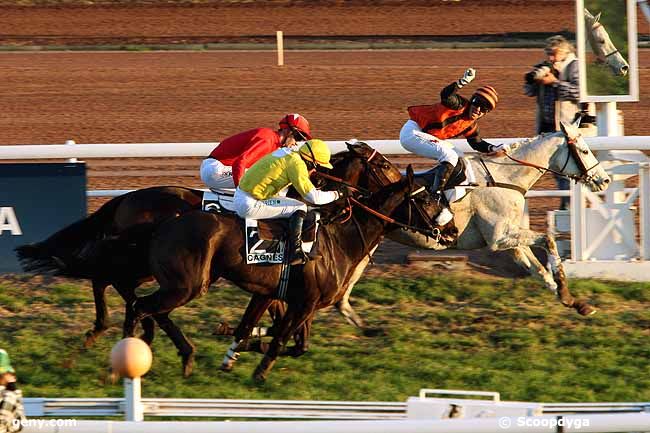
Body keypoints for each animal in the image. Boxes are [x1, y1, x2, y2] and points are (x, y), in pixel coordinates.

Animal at [125, 164, 436, 380]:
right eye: (425, 201)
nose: (441, 231)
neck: (338, 237)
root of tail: (164, 224)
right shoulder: (304, 303)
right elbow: (281, 338)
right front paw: (259, 373)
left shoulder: (285, 297)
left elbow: (286, 340)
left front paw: (236, 350)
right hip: (187, 285)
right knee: (141, 306)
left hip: (184, 284)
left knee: (149, 308)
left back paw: (181, 356)